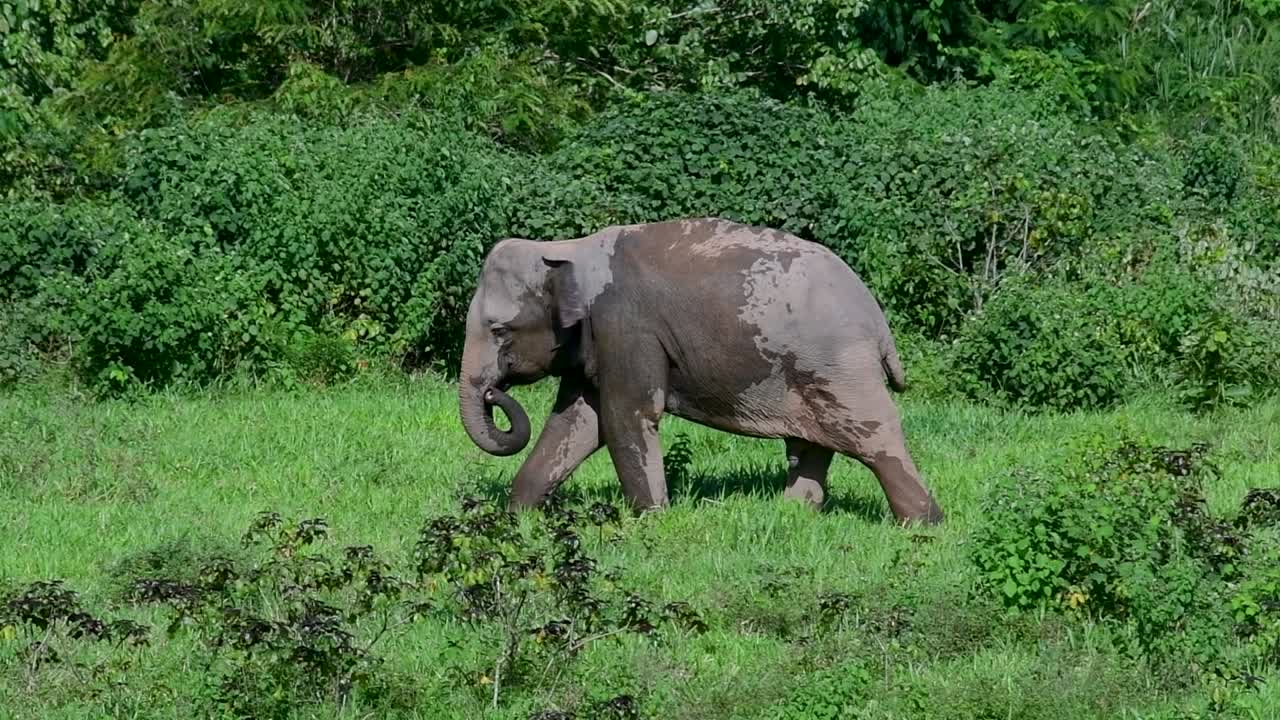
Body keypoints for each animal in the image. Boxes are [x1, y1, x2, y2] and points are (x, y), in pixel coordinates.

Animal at [457, 218, 944, 525]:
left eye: (499, 329)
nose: (493, 393)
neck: (566, 249)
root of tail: (876, 318)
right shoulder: (595, 343)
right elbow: (576, 423)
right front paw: (517, 516)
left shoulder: (627, 328)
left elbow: (624, 416)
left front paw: (652, 521)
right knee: (813, 444)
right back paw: (792, 514)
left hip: (837, 364)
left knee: (872, 436)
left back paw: (923, 525)